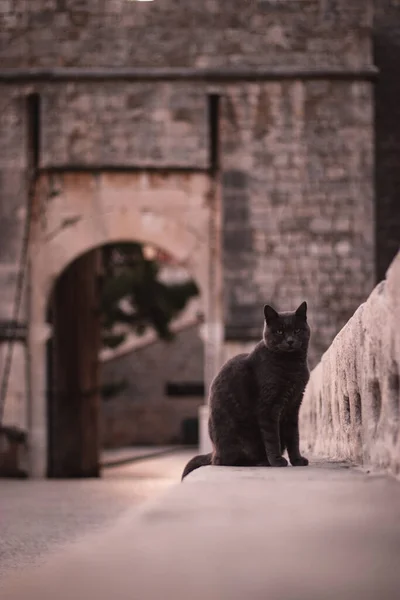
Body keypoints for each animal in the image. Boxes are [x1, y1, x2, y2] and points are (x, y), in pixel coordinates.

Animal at [183, 302, 310, 480]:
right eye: (280, 331)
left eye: (297, 330)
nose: (290, 340)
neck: (292, 366)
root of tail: (214, 452)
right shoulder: (268, 408)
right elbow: (272, 438)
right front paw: (277, 461)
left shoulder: (294, 405)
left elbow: (294, 436)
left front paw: (297, 460)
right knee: (226, 461)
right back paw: (263, 462)